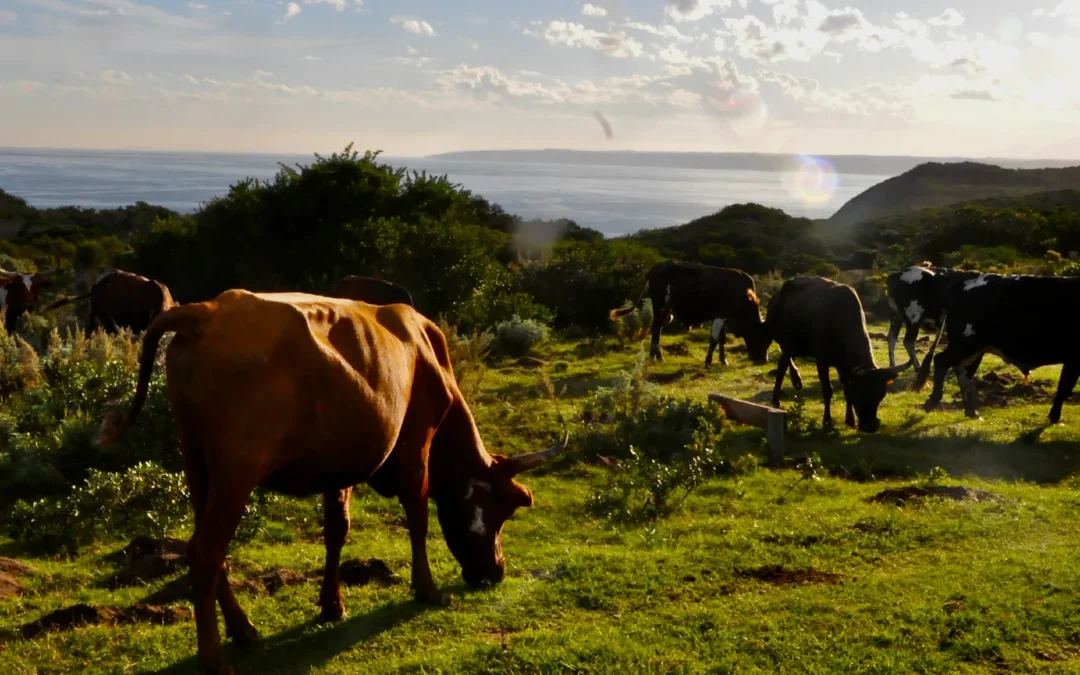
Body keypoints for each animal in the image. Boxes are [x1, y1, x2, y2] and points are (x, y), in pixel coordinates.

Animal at [97, 290, 566, 675]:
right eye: (502, 510)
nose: (496, 572)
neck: (426, 352)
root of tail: (208, 311)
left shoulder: (339, 464)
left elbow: (336, 529)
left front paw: (331, 604)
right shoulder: (417, 445)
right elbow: (417, 516)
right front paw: (427, 589)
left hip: (197, 463)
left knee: (209, 550)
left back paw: (243, 629)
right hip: (237, 468)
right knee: (206, 551)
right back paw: (214, 658)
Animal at [610, 261, 769, 366]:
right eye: (761, 338)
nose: (763, 360)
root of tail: (658, 267)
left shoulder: (723, 318)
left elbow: (721, 340)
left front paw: (723, 360)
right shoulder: (720, 316)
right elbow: (714, 340)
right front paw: (708, 361)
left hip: (666, 313)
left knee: (656, 330)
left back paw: (653, 355)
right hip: (660, 308)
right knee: (655, 330)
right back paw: (659, 357)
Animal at [766, 276, 912, 433]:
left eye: (881, 395)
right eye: (861, 393)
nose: (870, 426)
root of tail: (776, 297)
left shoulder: (845, 366)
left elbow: (846, 390)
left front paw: (850, 420)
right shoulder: (822, 361)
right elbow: (827, 390)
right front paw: (827, 420)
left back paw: (795, 380)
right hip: (786, 344)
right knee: (782, 366)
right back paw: (777, 399)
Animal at [923, 273, 1080, 422]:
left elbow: (1065, 387)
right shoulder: (1073, 359)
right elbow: (1064, 387)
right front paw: (1054, 416)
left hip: (974, 350)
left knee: (962, 372)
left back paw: (971, 412)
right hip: (966, 343)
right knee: (941, 360)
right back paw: (933, 401)